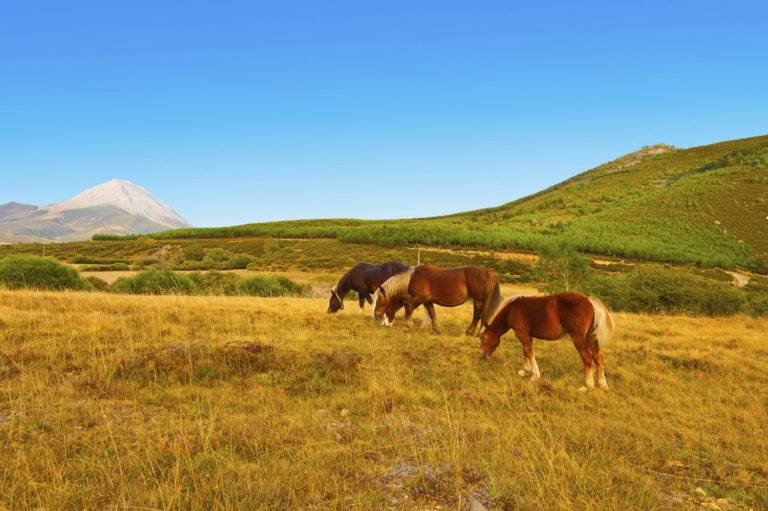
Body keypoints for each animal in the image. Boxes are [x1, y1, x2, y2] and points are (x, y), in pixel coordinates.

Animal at [374, 266, 504, 338]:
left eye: (380, 301)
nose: (376, 316)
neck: (413, 278)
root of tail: (488, 272)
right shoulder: (427, 301)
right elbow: (432, 314)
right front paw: (436, 330)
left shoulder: (420, 298)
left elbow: (409, 308)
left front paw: (406, 326)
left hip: (478, 300)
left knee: (478, 316)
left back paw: (473, 333)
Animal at [476, 292, 616, 392]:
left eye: (483, 337)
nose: (481, 354)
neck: (512, 309)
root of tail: (589, 300)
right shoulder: (527, 336)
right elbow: (526, 352)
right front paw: (524, 371)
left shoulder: (522, 334)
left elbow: (528, 352)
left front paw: (534, 376)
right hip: (591, 337)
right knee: (598, 357)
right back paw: (602, 384)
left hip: (578, 337)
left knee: (587, 358)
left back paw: (587, 386)